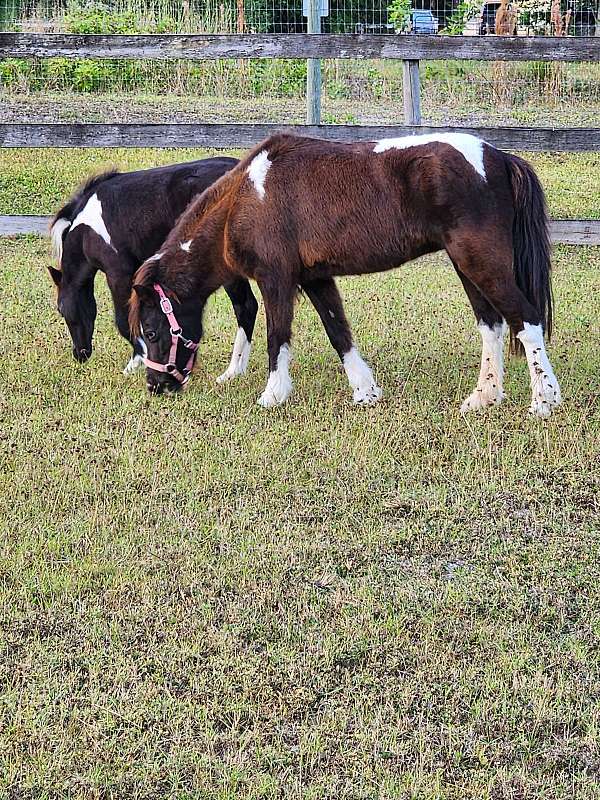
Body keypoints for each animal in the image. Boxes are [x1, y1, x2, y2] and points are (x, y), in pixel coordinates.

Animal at [49, 159, 258, 382]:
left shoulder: (118, 274)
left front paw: (136, 362)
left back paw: (231, 372)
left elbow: (124, 320)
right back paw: (239, 370)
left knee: (245, 307)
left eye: (61, 310)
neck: (87, 231)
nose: (80, 354)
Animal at [127, 131, 564, 416]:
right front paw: (365, 391)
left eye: (152, 331)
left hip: (480, 261)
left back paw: (544, 401)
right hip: (466, 265)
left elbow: (277, 337)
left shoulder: (276, 279)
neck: (247, 197)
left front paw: (272, 395)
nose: (156, 386)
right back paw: (484, 397)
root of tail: (499, 157)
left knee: (526, 320)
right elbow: (338, 332)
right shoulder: (315, 278)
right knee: (493, 325)